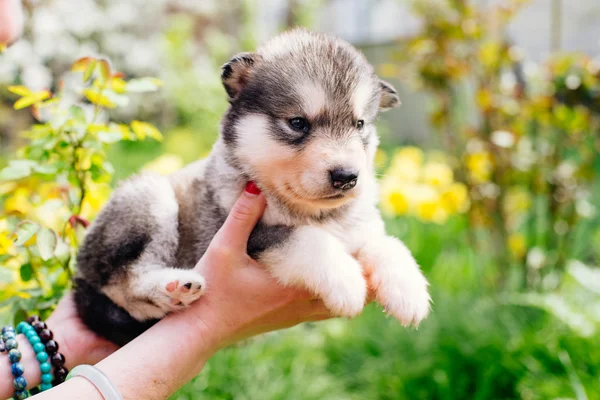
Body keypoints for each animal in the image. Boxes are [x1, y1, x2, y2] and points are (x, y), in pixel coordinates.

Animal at [74, 28, 432, 346]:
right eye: (297, 123)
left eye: (359, 125)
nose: (347, 176)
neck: (314, 213)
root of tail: (78, 273)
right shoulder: (247, 234)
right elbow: (303, 238)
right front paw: (345, 279)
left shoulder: (360, 228)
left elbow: (386, 243)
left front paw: (408, 288)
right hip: (150, 199)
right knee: (122, 284)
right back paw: (171, 288)